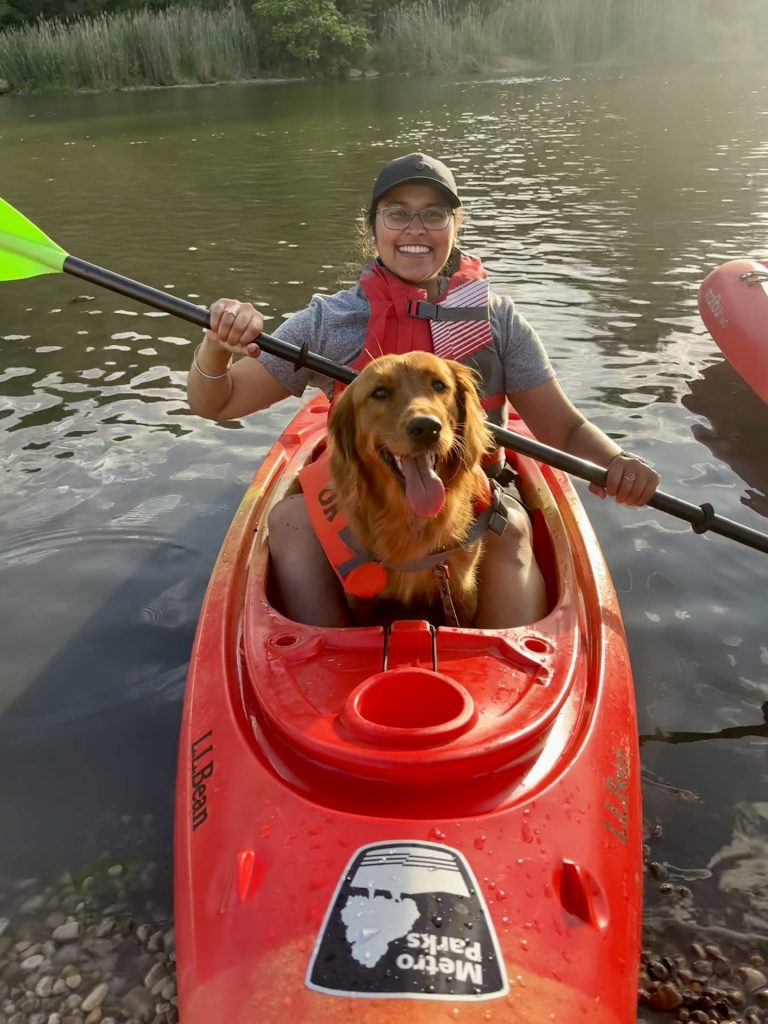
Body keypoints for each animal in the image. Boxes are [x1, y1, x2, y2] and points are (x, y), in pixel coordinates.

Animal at [327, 351, 498, 625]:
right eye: (380, 392)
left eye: (439, 385)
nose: (427, 427)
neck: (412, 519)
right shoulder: (361, 600)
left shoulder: (462, 589)